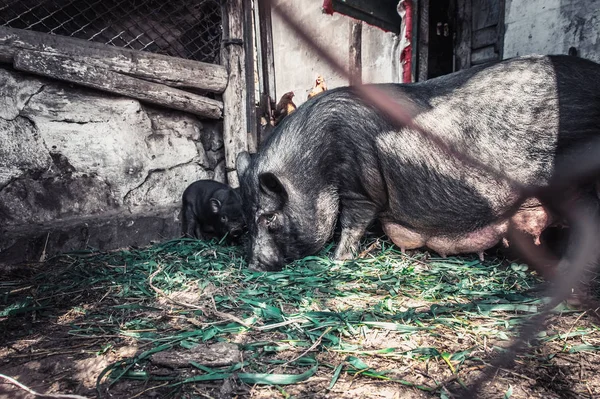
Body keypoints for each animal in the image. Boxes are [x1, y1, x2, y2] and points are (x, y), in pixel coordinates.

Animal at [237, 55, 600, 272]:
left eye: (269, 217)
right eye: (247, 219)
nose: (254, 265)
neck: (317, 168)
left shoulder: (360, 187)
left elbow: (353, 222)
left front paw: (338, 262)